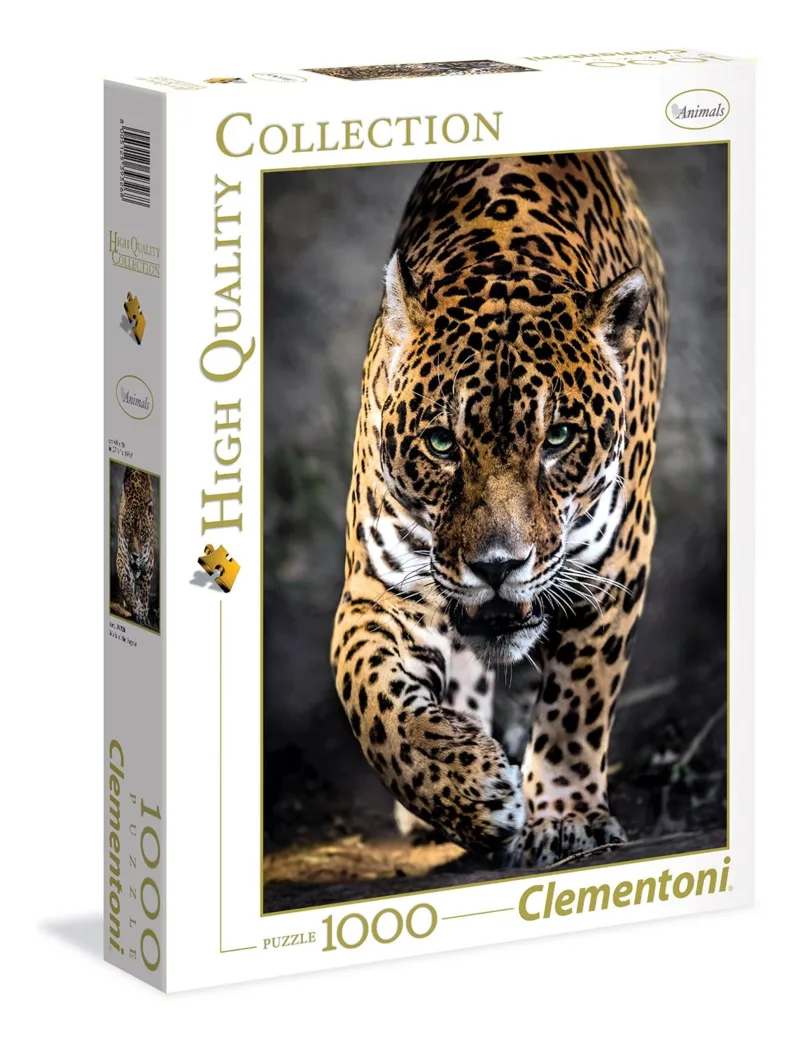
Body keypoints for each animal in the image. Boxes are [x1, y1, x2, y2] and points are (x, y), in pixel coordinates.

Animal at [115, 467, 156, 629]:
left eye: (142, 532)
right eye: (128, 528)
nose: (135, 555)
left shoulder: (148, 565)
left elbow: (144, 595)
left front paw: (143, 616)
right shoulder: (121, 558)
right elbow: (126, 585)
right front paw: (133, 606)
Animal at [331, 152, 667, 868]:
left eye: (559, 438)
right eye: (441, 443)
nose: (496, 566)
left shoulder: (616, 563)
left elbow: (577, 700)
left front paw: (564, 816)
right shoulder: (380, 587)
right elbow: (369, 697)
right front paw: (467, 789)